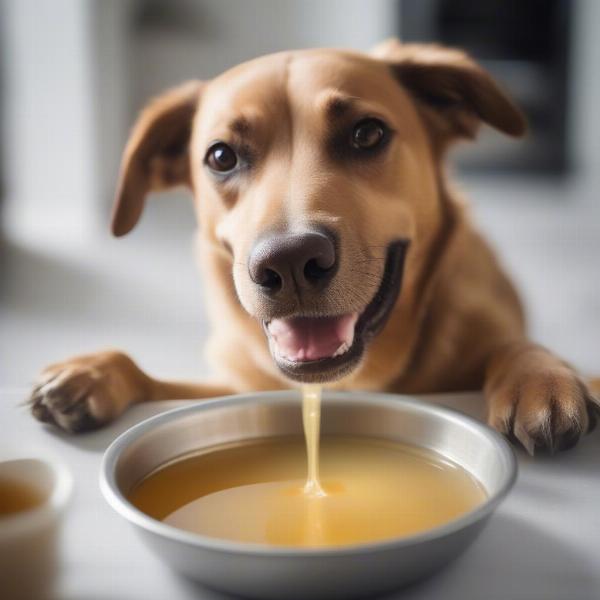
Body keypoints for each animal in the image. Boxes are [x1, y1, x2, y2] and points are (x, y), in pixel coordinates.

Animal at [30, 41, 596, 454]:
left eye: (367, 133)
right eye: (221, 156)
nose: (289, 261)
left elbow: (515, 344)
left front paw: (539, 377)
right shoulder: (237, 385)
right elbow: (161, 382)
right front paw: (95, 371)